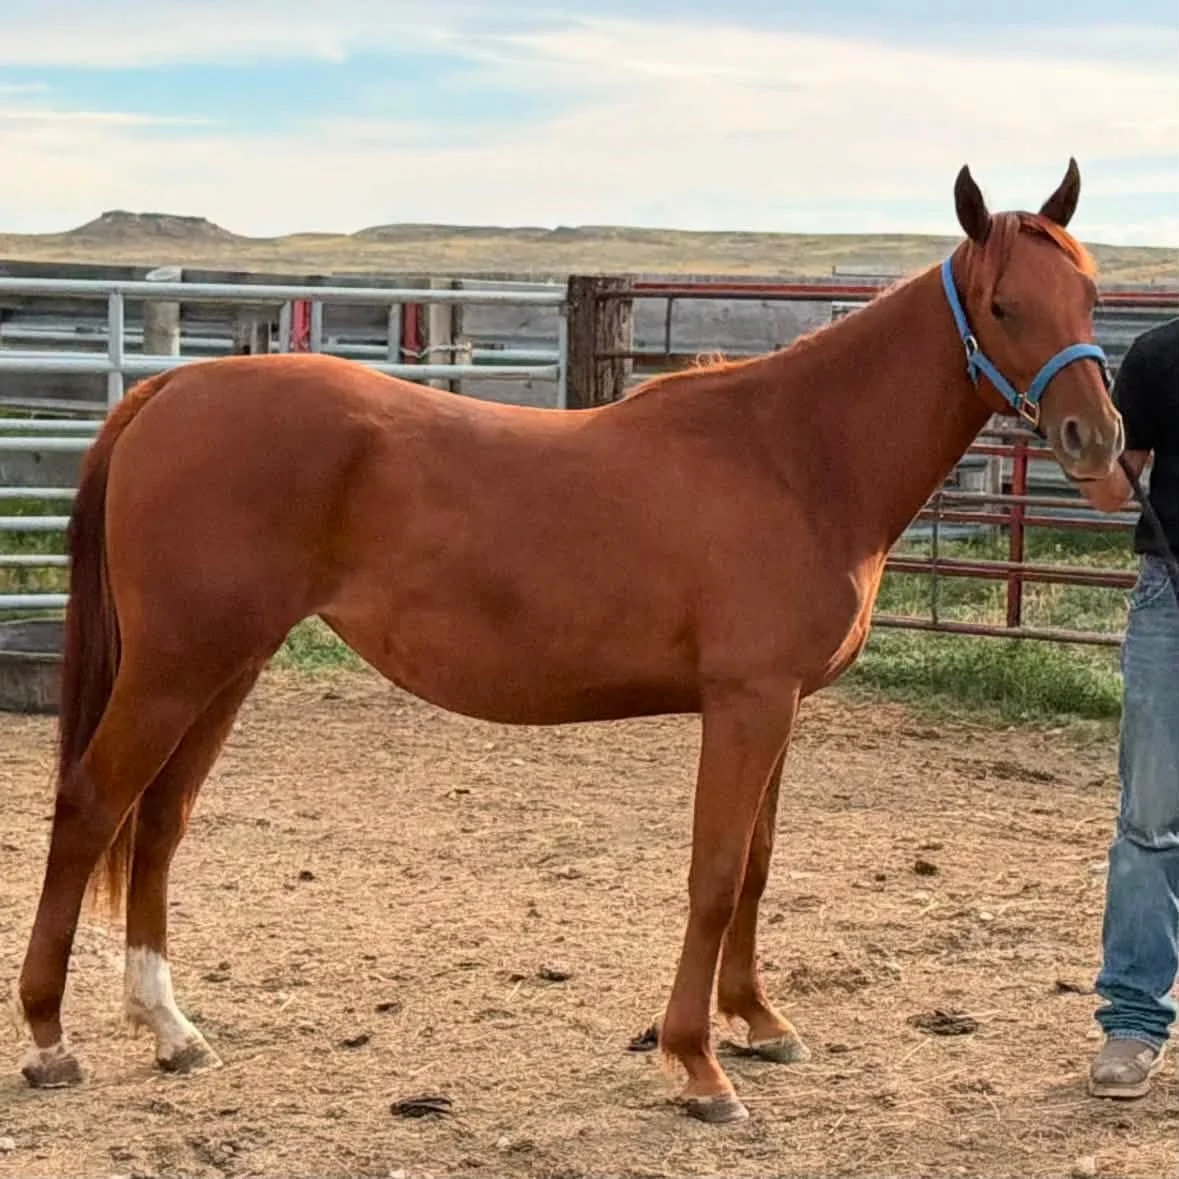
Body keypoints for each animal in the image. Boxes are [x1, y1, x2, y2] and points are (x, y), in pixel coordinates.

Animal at [13, 159, 1122, 1124]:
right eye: (1001, 306)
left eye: (1088, 294)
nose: (1097, 442)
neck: (795, 455)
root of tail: (169, 390)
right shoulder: (747, 703)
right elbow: (715, 874)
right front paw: (698, 1064)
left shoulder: (781, 708)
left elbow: (758, 867)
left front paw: (760, 1022)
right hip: (175, 667)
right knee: (91, 806)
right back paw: (50, 1037)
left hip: (227, 666)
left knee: (159, 822)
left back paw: (171, 1028)